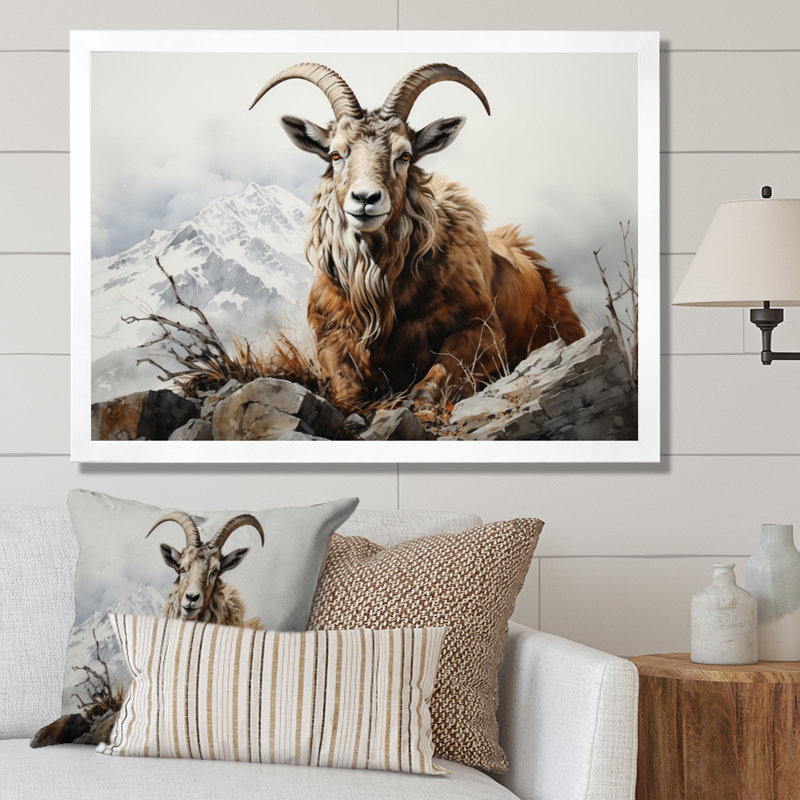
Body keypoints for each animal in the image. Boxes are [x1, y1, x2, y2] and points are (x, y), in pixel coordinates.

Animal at [250, 62, 585, 412]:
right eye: (335, 154)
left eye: (405, 155)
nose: (366, 198)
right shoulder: (332, 335)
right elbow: (347, 391)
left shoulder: (483, 330)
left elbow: (432, 380)